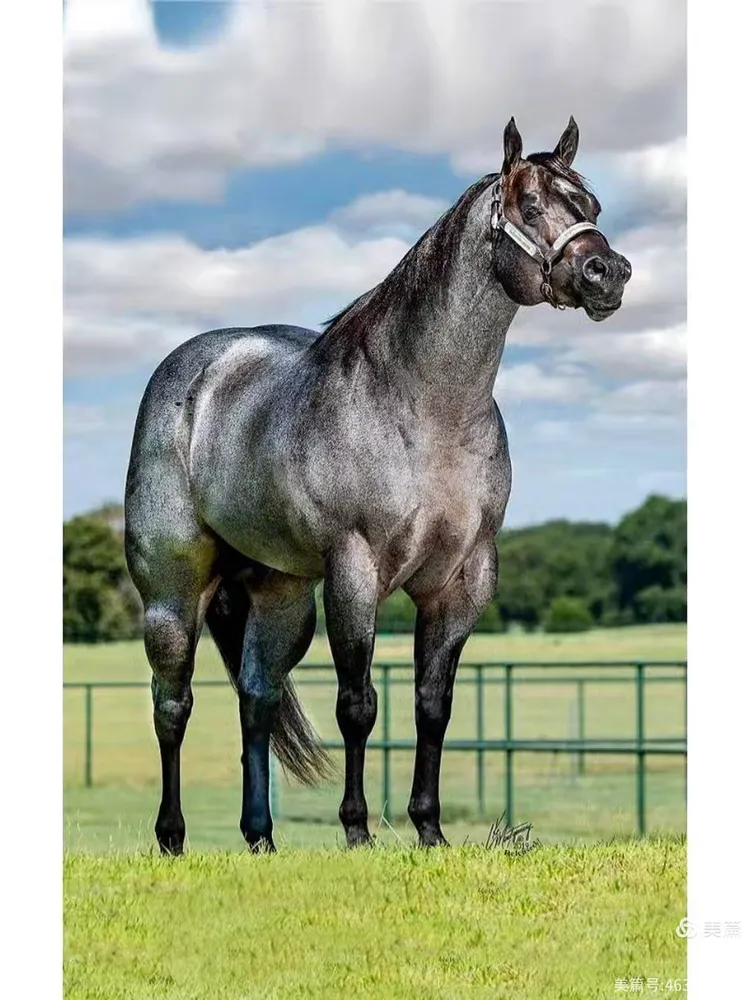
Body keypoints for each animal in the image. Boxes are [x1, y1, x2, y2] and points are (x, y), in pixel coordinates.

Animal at [124, 117, 631, 854]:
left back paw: (261, 840)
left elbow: (432, 705)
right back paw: (171, 837)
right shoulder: (355, 572)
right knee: (173, 705)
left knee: (256, 698)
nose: (607, 273)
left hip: (282, 598)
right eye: (531, 206)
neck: (425, 408)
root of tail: (195, 370)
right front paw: (358, 830)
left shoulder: (461, 581)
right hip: (172, 592)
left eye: (591, 205)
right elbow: (358, 705)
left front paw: (430, 830)